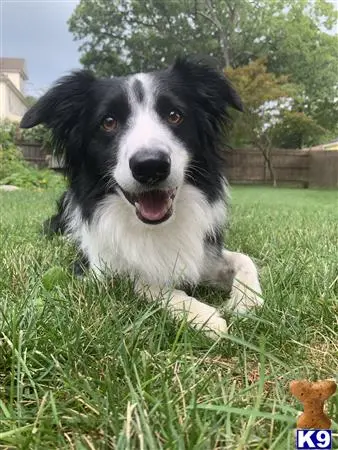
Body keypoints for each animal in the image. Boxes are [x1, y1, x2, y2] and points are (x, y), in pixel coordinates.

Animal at [21, 57, 264, 338]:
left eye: (174, 115)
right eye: (108, 122)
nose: (150, 166)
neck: (154, 228)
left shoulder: (205, 253)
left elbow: (245, 259)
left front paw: (244, 302)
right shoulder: (95, 270)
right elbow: (142, 281)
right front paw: (204, 316)